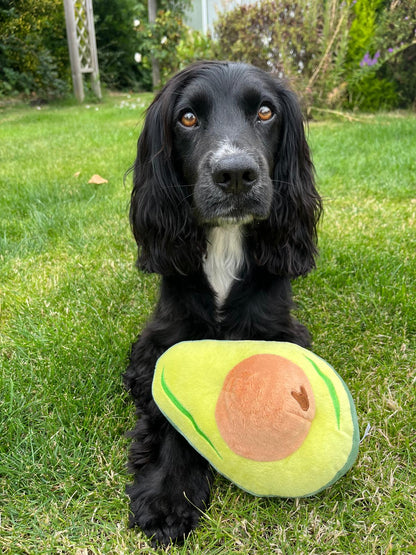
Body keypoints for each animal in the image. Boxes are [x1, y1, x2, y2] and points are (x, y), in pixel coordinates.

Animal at [123, 60, 322, 544]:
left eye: (266, 112)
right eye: (188, 117)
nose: (235, 174)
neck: (225, 242)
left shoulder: (278, 330)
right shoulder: (165, 339)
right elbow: (168, 407)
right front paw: (168, 494)